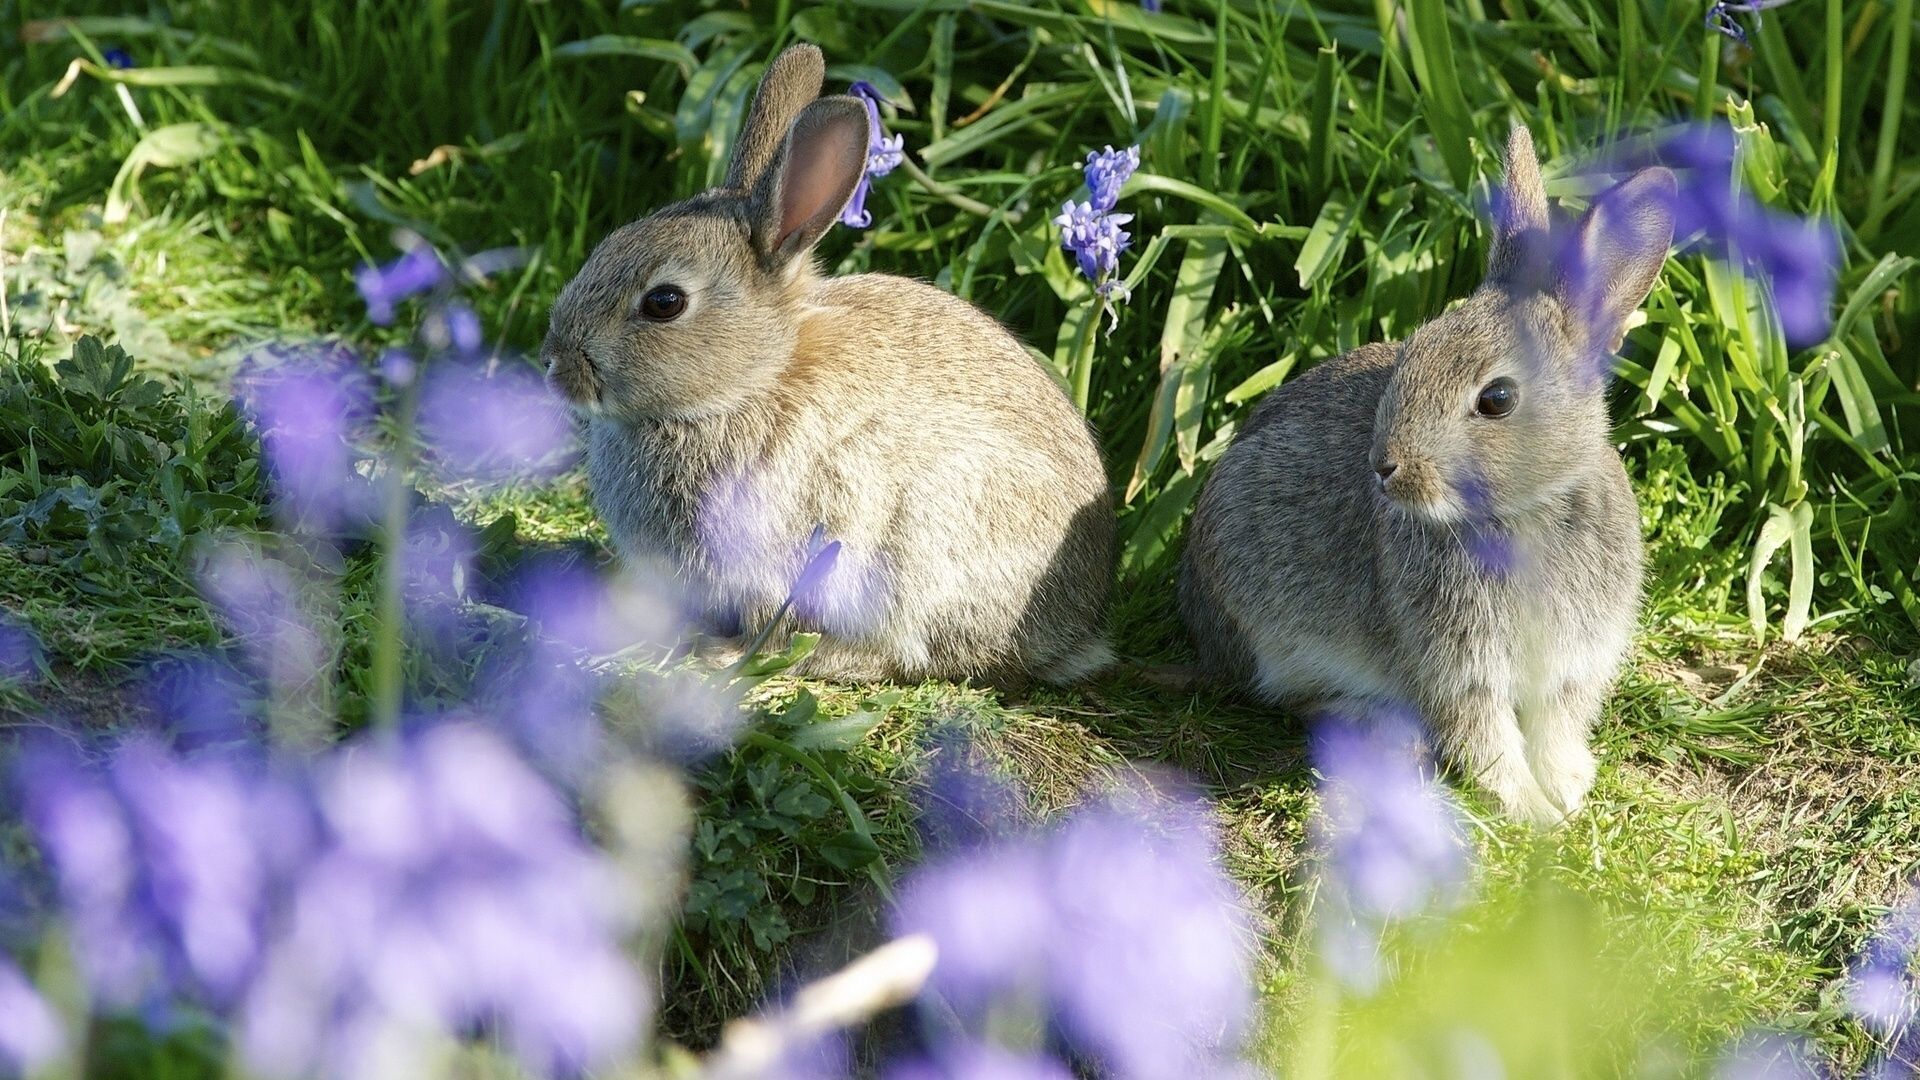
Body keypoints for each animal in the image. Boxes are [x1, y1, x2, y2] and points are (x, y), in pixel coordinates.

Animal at [1175, 123, 1674, 814]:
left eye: (1497, 399)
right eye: (1412, 351)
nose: (1384, 467)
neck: (1523, 511)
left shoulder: (1572, 663)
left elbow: (1556, 726)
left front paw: (1567, 790)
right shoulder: (1458, 666)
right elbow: (1484, 736)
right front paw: (1532, 810)